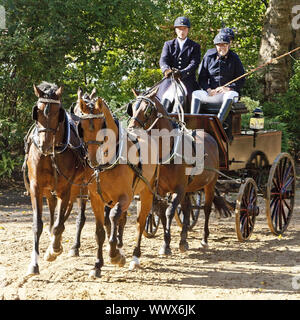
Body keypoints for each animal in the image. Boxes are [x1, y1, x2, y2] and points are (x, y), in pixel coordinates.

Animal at [25, 82, 87, 276]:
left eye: (57, 112)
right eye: (37, 111)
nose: (44, 144)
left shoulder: (66, 188)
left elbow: (60, 223)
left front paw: (55, 249)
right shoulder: (36, 188)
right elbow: (38, 224)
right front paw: (34, 264)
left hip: (83, 187)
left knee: (77, 216)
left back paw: (72, 246)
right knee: (55, 213)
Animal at [76, 90, 158, 278]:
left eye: (102, 126)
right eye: (81, 127)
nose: (93, 160)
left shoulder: (126, 197)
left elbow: (114, 216)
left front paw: (115, 256)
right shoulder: (96, 199)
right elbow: (100, 231)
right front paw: (97, 265)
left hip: (147, 192)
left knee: (140, 222)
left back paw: (135, 257)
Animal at [126, 90, 218, 255]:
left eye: (147, 110)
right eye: (132, 108)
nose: (131, 130)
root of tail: (209, 136)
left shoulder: (179, 189)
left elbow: (169, 212)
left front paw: (168, 244)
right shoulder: (161, 190)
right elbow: (162, 214)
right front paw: (166, 244)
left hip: (210, 184)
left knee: (207, 209)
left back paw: (204, 239)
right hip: (189, 188)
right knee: (187, 208)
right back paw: (184, 240)